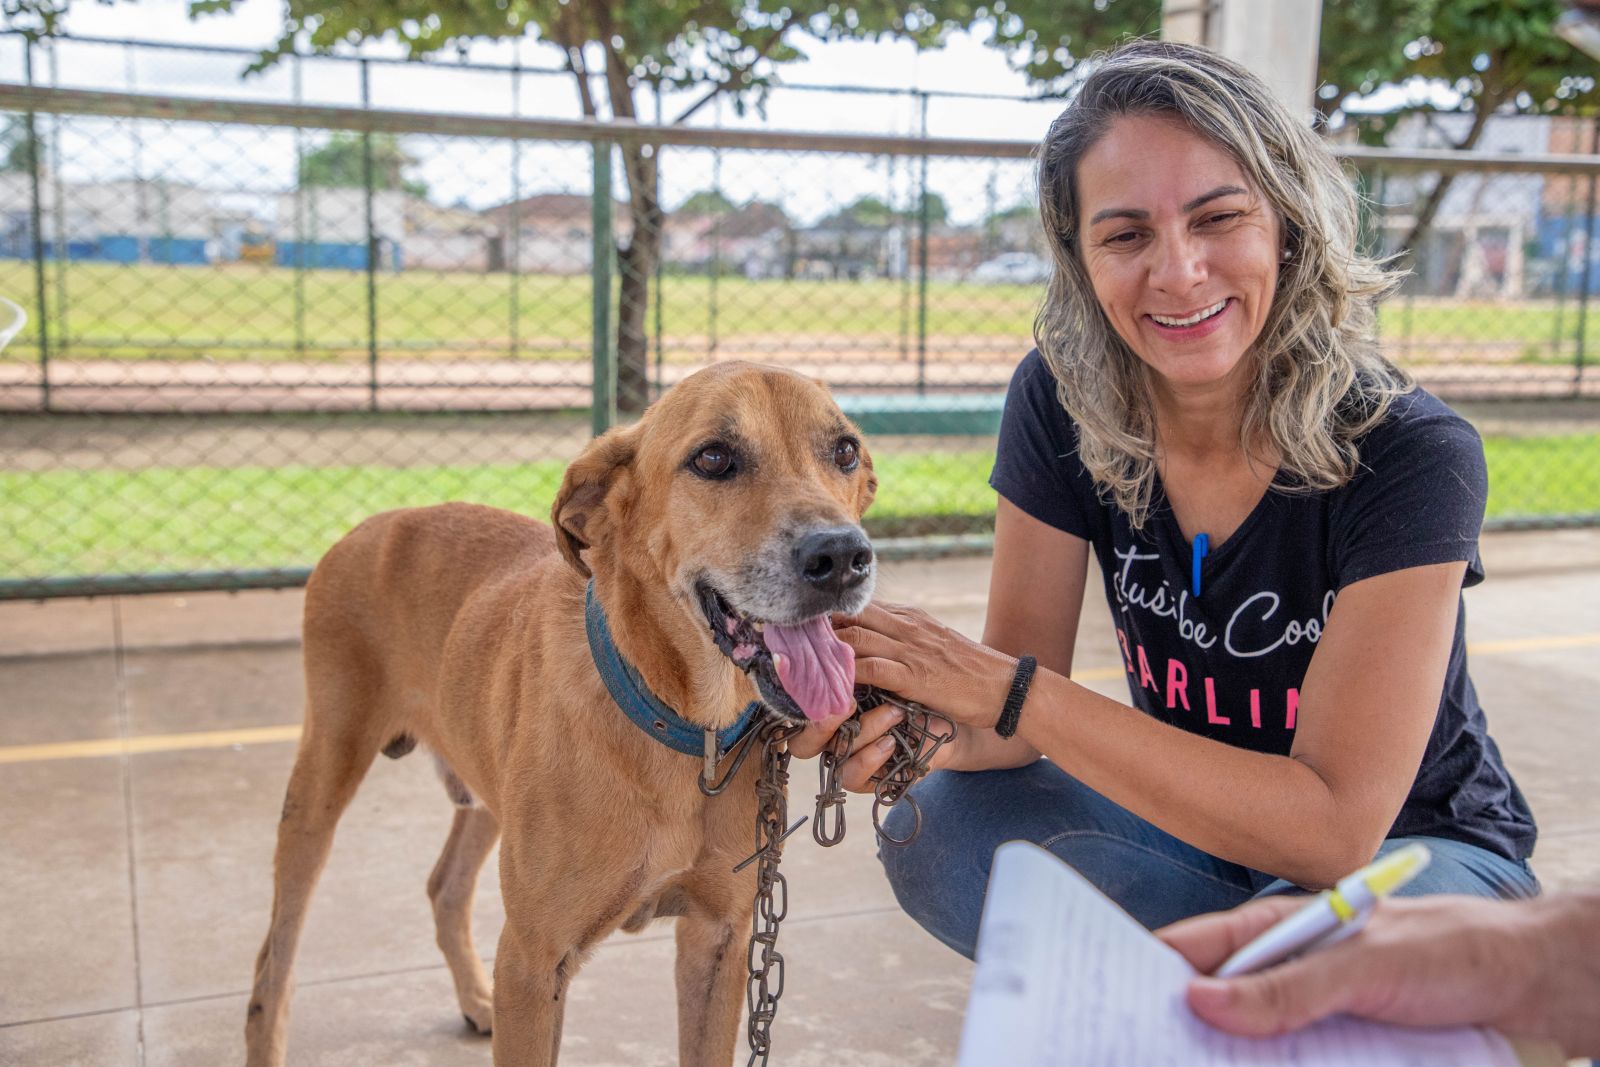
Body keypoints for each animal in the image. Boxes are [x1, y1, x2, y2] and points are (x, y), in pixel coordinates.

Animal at [243, 363, 883, 1062]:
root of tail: (372, 522)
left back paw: (474, 1001)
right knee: (274, 959)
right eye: (714, 458)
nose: (841, 557)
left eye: (844, 451)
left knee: (444, 886)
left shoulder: (720, 943)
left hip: (484, 788)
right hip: (322, 781)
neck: (679, 719)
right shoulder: (532, 962)